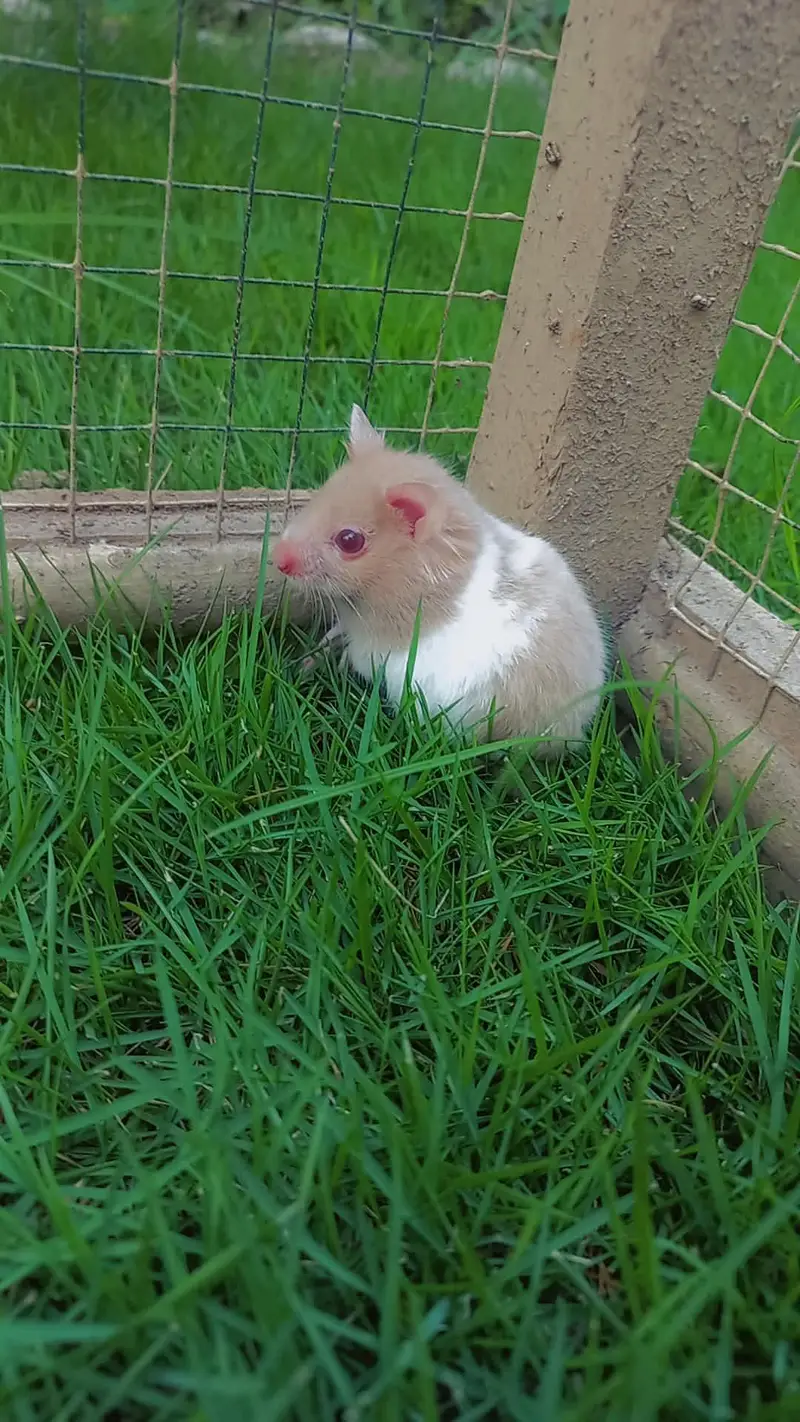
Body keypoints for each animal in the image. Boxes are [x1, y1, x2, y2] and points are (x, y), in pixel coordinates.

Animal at [272, 405, 607, 751]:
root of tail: (564, 734)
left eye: (350, 540)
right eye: (317, 497)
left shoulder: (372, 646)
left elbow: (351, 651)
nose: (277, 559)